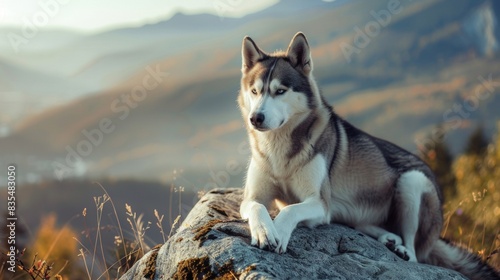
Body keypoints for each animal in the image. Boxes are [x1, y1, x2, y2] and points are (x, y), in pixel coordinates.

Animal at [237, 31, 500, 278]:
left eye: (280, 91)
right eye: (255, 91)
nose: (255, 118)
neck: (278, 149)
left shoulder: (320, 204)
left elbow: (290, 210)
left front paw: (279, 232)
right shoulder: (251, 197)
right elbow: (257, 207)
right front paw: (264, 231)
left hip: (412, 181)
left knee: (416, 254)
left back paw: (402, 249)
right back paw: (389, 240)